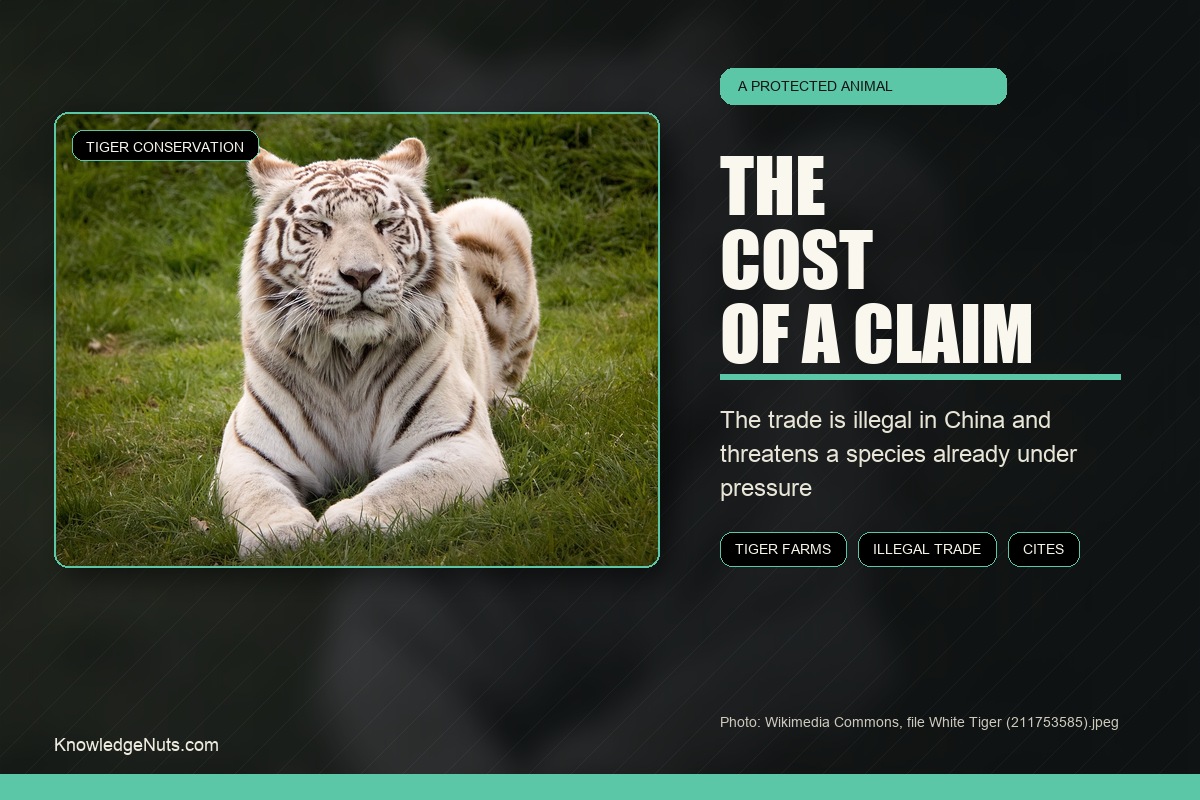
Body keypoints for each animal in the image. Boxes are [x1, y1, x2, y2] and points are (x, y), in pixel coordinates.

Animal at [214, 138, 539, 559]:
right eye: (319, 226)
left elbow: (404, 486)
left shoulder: (459, 442)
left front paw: (348, 521)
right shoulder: (249, 451)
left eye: (384, 223)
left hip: (493, 211)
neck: (346, 361)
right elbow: (259, 495)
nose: (362, 274)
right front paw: (279, 533)